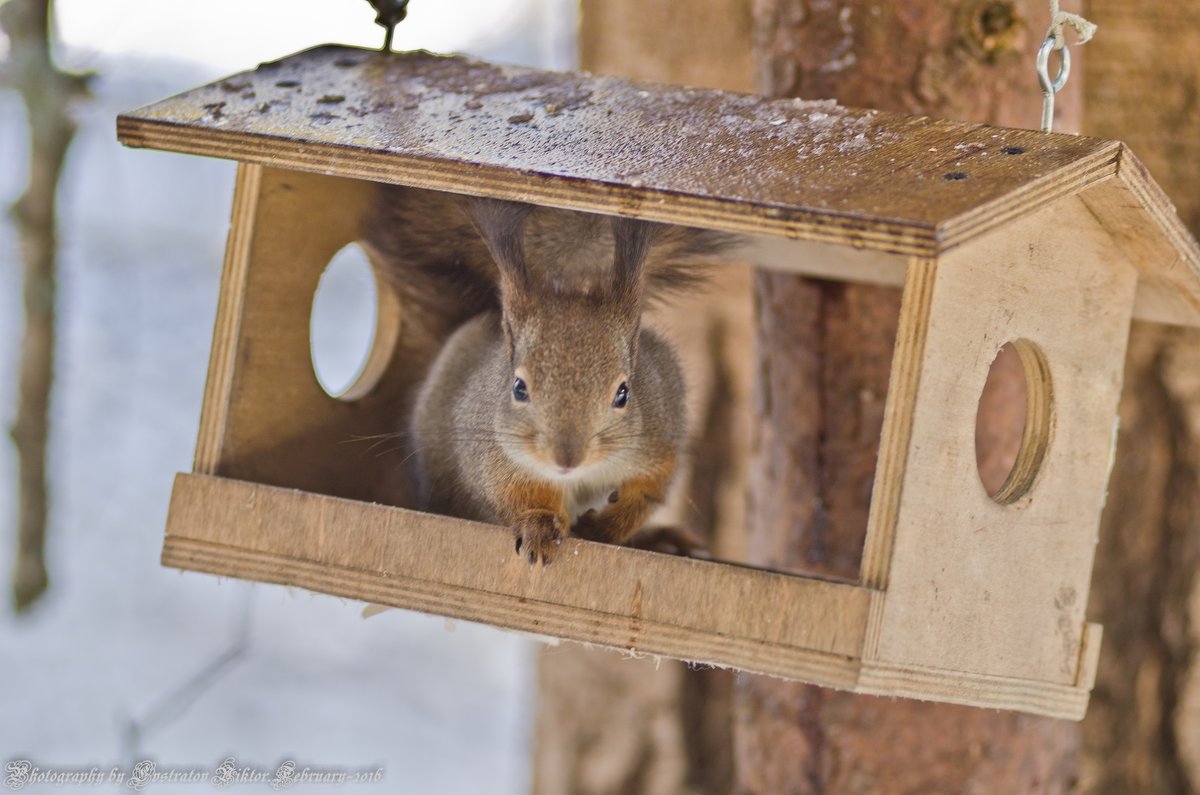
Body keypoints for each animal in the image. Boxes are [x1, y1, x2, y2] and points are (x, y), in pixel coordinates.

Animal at [360, 184, 724, 566]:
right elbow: (515, 493)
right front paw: (540, 526)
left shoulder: (658, 437)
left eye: (623, 393)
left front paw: (607, 527)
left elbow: (648, 493)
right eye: (519, 388)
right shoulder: (494, 455)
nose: (566, 460)